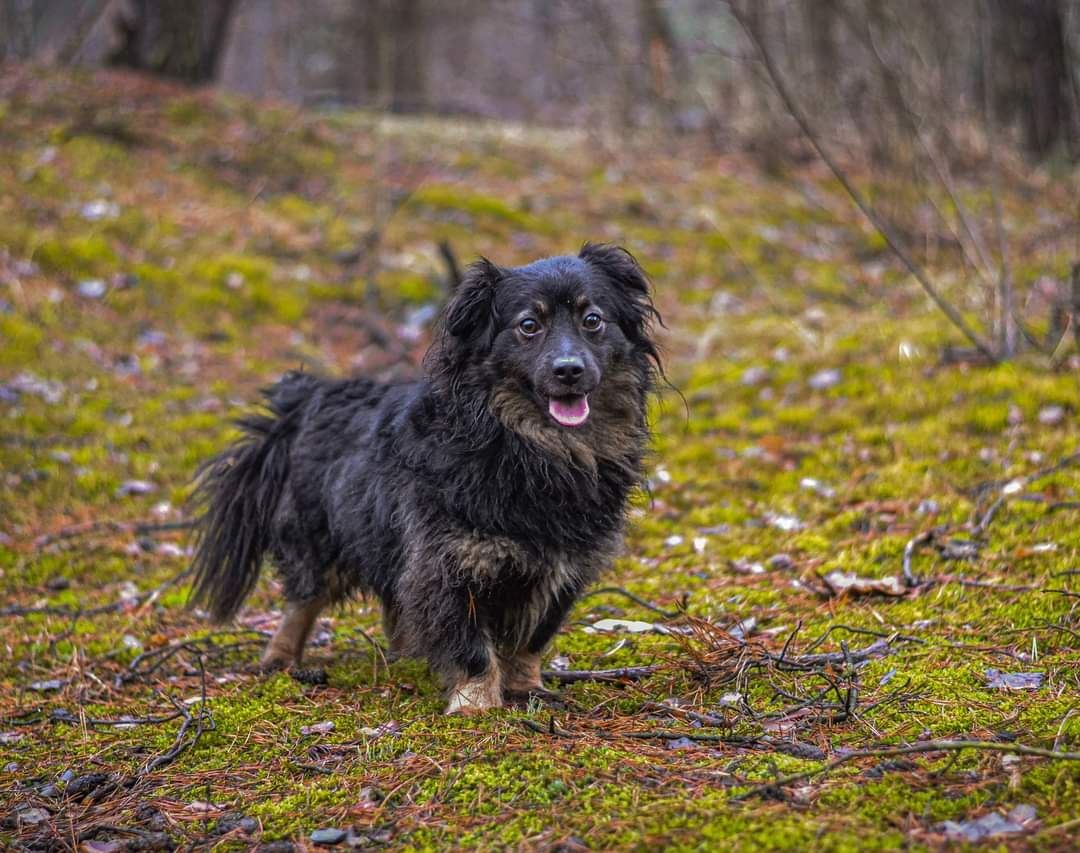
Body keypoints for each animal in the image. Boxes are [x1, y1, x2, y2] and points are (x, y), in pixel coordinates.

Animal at [191, 241, 660, 716]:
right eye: (529, 325)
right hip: (318, 537)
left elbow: (530, 641)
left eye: (592, 320)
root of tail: (309, 397)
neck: (533, 450)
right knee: (302, 601)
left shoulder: (562, 569)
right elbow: (472, 647)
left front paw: (527, 690)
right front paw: (475, 705)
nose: (569, 369)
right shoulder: (448, 565)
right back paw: (281, 658)